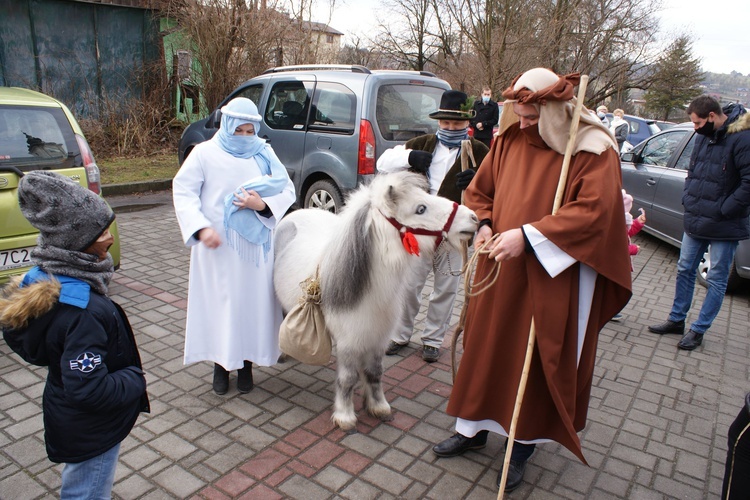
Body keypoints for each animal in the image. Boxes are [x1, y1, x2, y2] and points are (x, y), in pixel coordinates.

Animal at [274, 171, 478, 430]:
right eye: (421, 208)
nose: (473, 218)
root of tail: (296, 213)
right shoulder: (349, 340)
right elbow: (348, 378)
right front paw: (345, 416)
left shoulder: (377, 336)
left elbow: (374, 373)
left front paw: (378, 406)